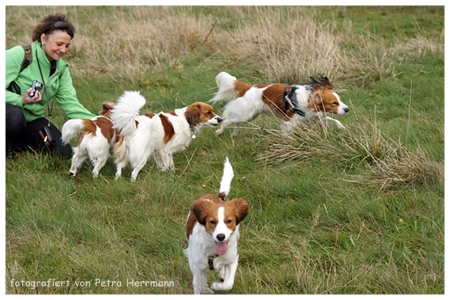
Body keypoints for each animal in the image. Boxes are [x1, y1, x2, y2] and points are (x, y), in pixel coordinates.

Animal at [185, 158, 251, 294]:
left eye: (229, 221)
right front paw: (207, 289)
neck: (214, 253)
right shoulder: (198, 266)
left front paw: (217, 285)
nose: (221, 237)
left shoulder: (233, 258)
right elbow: (199, 283)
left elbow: (228, 284)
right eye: (212, 222)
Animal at [209, 71, 350, 137]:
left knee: (237, 124)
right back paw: (219, 131)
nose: (347, 109)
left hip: (250, 116)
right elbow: (288, 133)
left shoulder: (316, 118)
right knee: (227, 120)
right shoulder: (288, 121)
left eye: (340, 100)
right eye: (334, 103)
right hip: (244, 114)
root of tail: (248, 87)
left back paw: (234, 135)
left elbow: (337, 122)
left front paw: (344, 130)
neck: (308, 101)